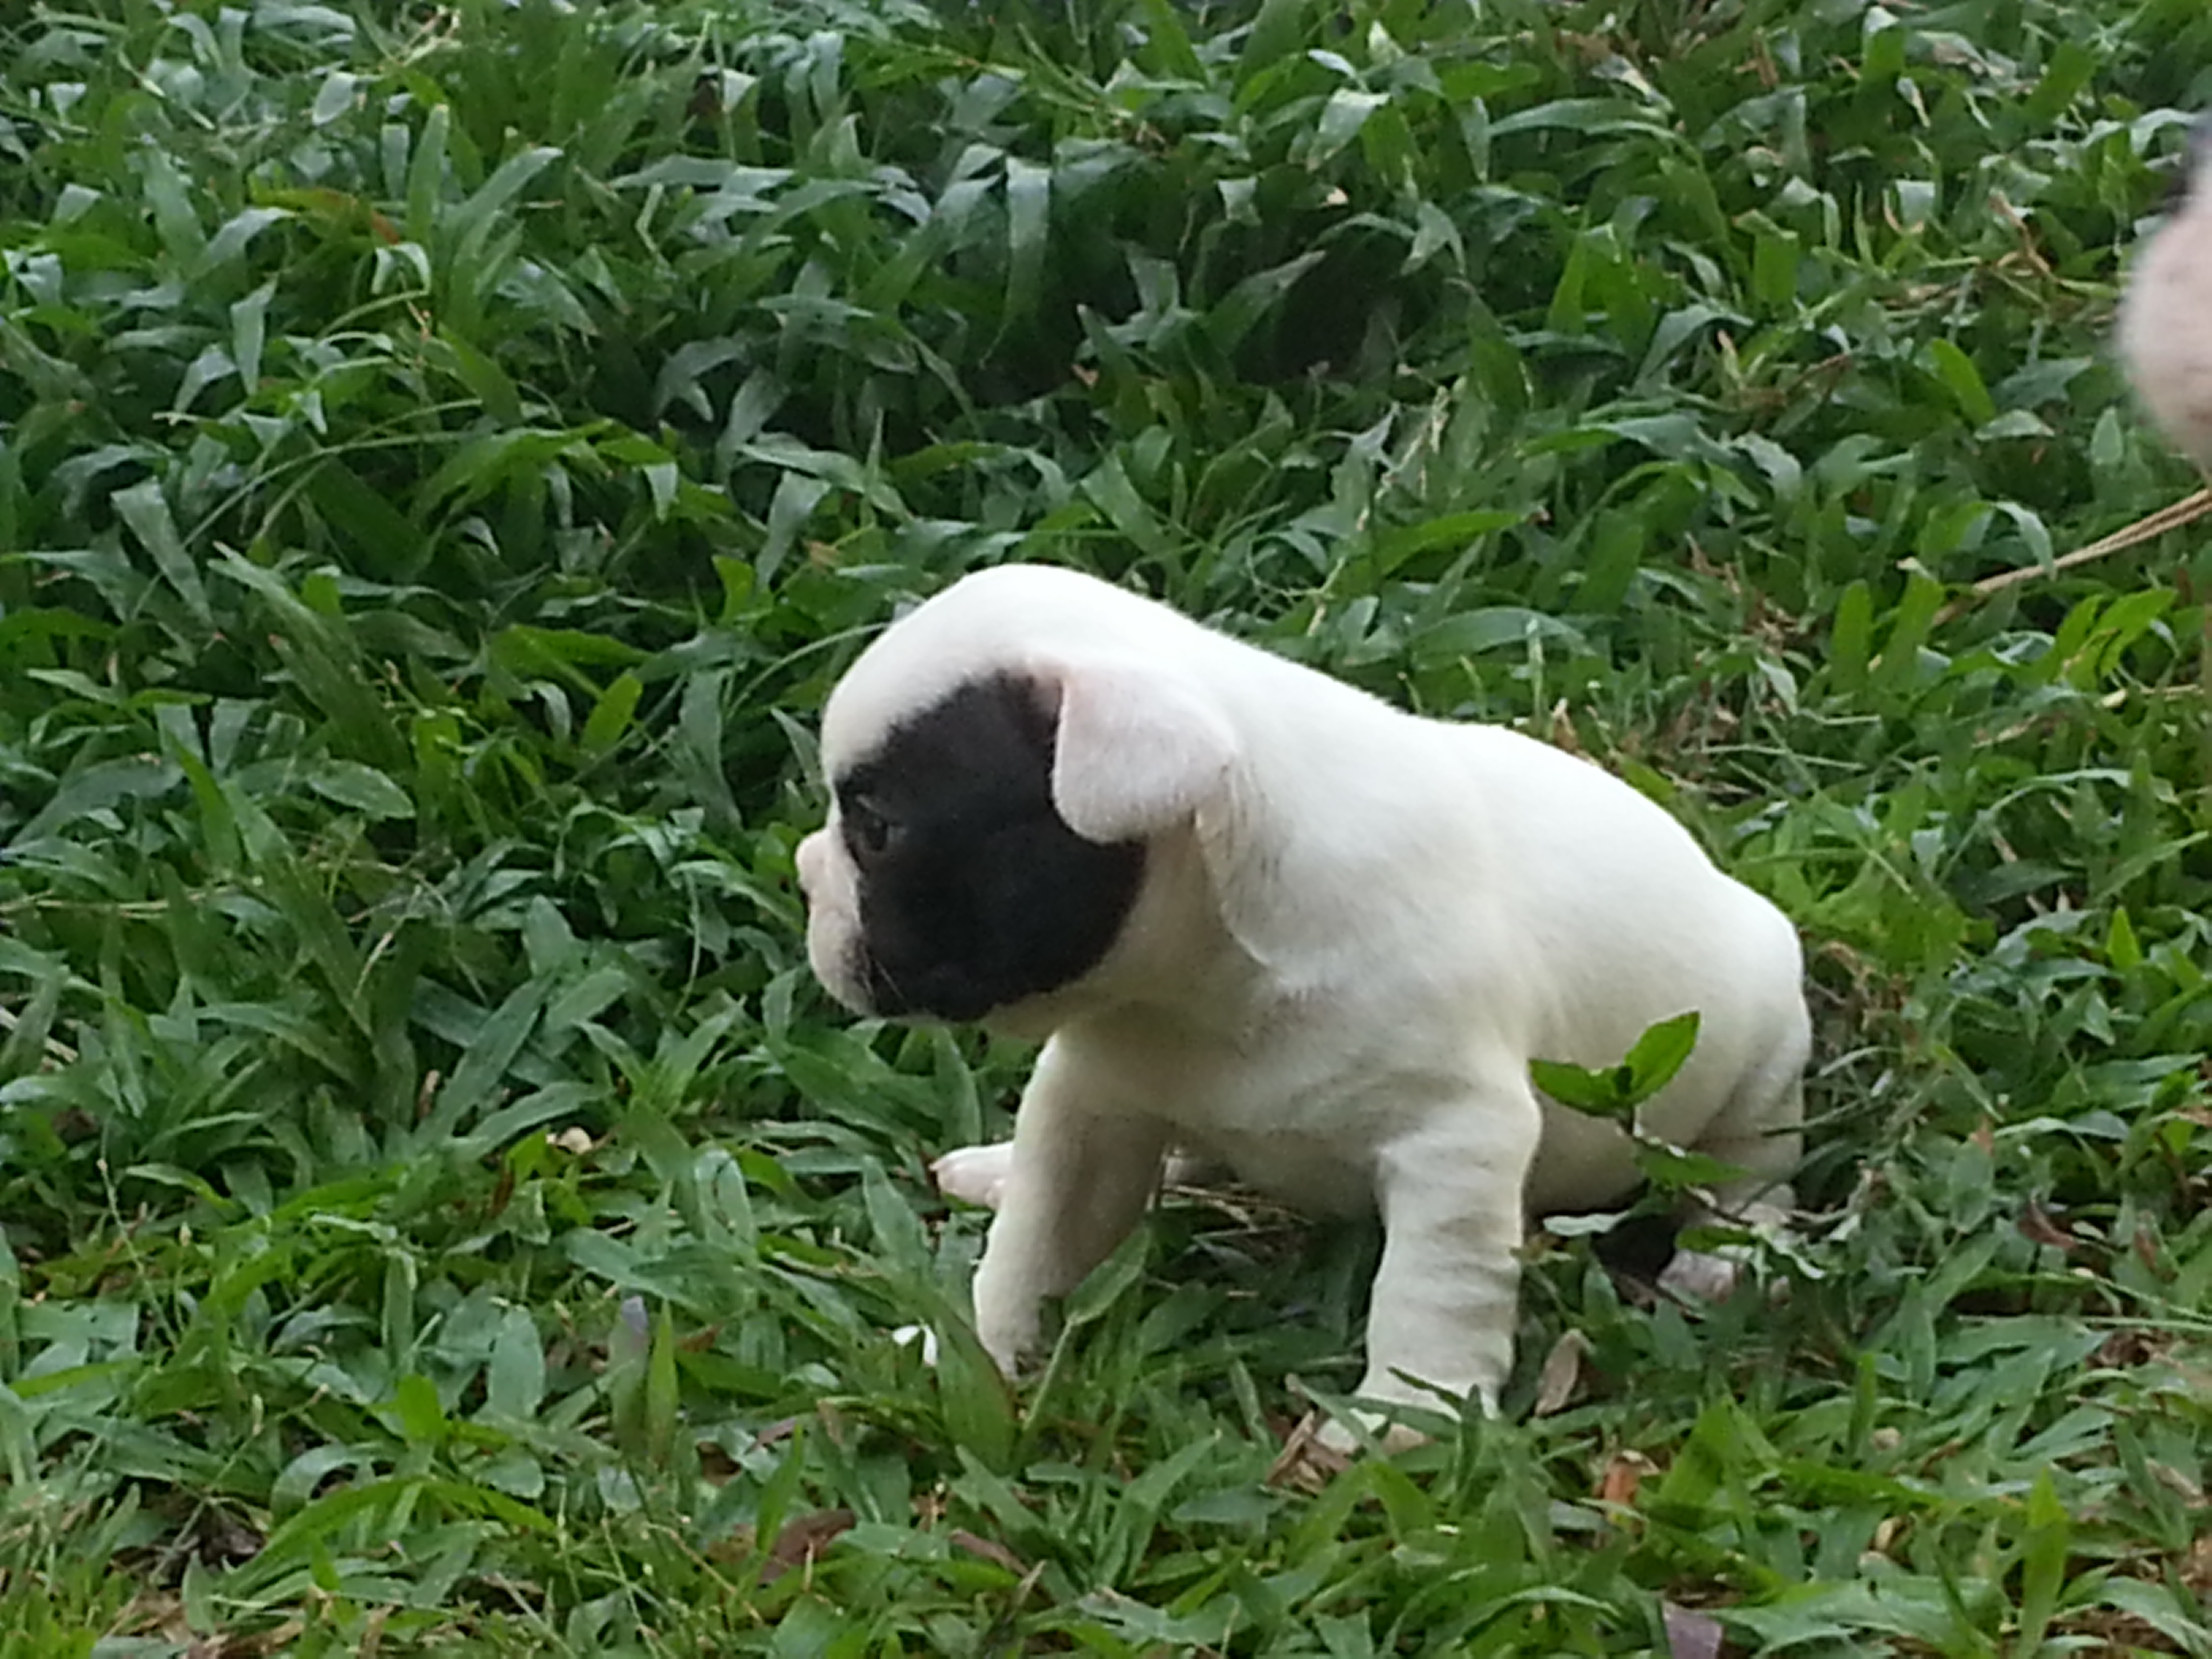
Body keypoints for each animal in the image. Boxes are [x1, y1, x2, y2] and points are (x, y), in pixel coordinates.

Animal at [795, 564, 1809, 1448]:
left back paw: (1727, 1252)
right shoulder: (1089, 1103)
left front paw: (1405, 1416)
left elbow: (1431, 1288)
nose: (804, 871)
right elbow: (1035, 1242)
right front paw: (967, 1352)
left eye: (878, 831)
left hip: (1762, 1050)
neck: (1203, 970)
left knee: (1750, 1165)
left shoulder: (1456, 1142)